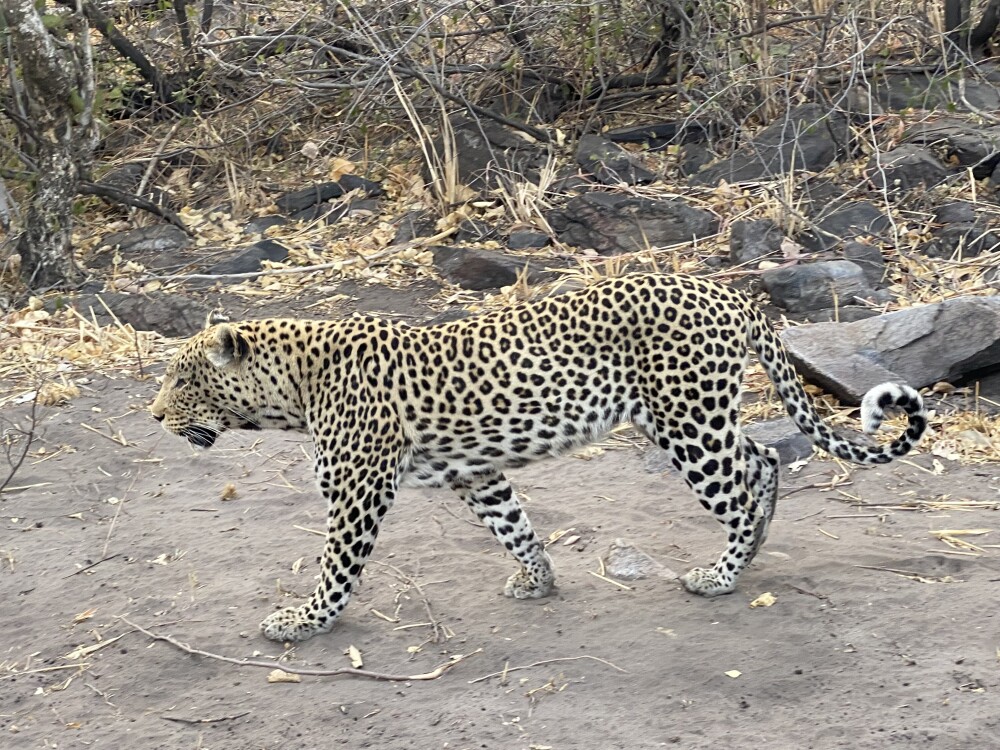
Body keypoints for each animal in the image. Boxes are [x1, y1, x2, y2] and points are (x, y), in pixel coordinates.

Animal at [151, 272, 927, 643]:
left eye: (183, 379)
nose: (154, 416)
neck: (294, 386)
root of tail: (729, 293)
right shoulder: (476, 472)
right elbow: (514, 526)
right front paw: (539, 580)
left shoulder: (359, 490)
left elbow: (336, 568)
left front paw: (305, 622)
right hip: (685, 417)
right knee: (764, 456)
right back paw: (751, 553)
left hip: (687, 423)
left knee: (747, 481)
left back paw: (723, 574)